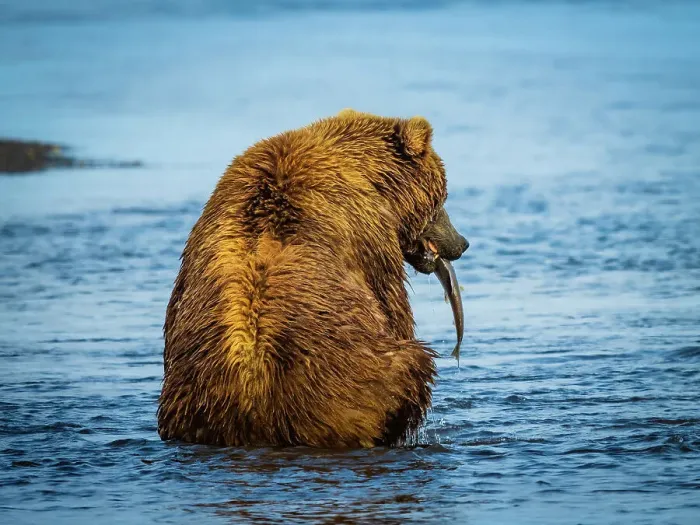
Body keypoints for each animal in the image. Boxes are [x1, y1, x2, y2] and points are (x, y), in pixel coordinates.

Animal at [157, 109, 469, 448]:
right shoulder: (370, 240)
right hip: (357, 379)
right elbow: (391, 305)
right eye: (443, 195)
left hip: (191, 400)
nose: (462, 242)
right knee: (412, 365)